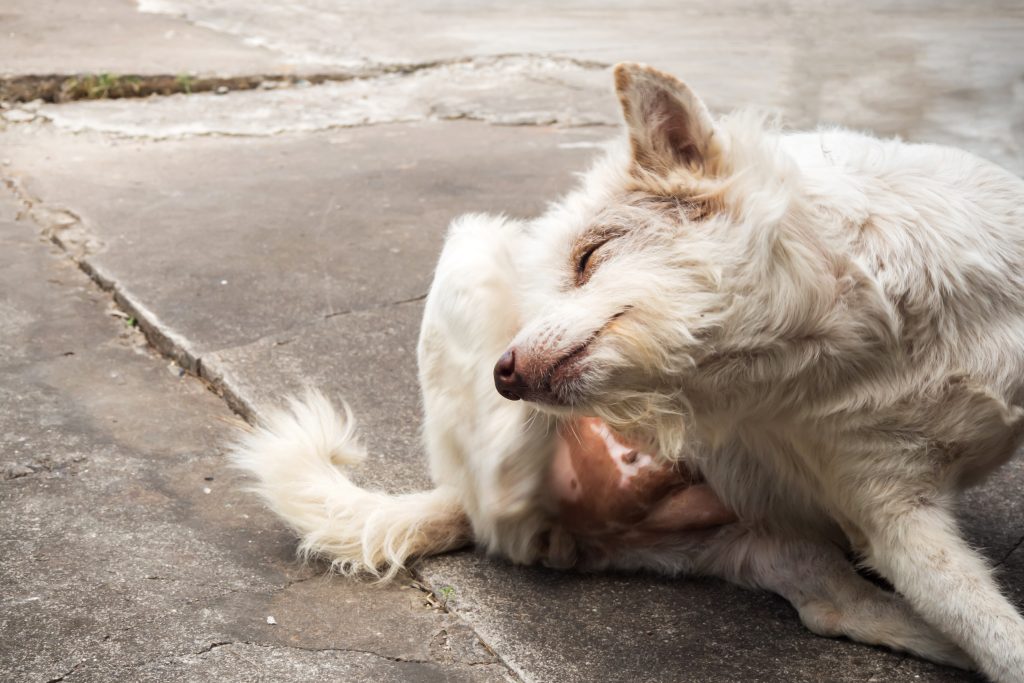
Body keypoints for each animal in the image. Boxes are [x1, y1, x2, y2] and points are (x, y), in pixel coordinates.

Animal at [232, 62, 1024, 679]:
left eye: (589, 257)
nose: (504, 373)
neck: (869, 337)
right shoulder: (895, 517)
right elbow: (995, 634)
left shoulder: (901, 521)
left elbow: (997, 637)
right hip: (475, 247)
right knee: (500, 484)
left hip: (771, 547)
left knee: (846, 608)